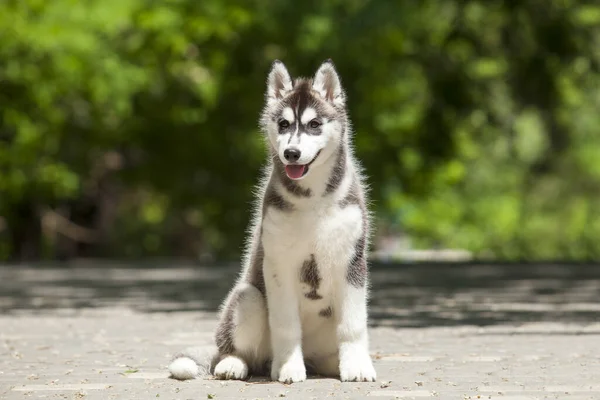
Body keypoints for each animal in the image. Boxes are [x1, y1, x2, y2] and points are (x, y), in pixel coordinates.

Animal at [169, 59, 376, 384]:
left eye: (314, 124)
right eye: (283, 124)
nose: (291, 153)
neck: (313, 198)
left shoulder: (352, 261)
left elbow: (353, 324)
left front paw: (357, 366)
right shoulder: (278, 262)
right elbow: (286, 324)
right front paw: (289, 366)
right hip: (248, 297)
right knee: (240, 351)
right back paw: (235, 364)